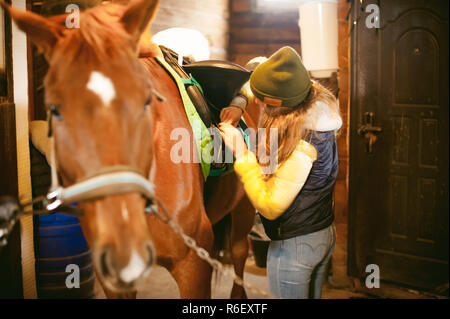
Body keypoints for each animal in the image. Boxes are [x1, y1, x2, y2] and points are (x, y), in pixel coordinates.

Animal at [4, 0, 256, 300]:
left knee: (239, 254)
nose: (123, 245)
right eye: (54, 109)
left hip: (244, 212)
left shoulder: (193, 265)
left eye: (147, 99)